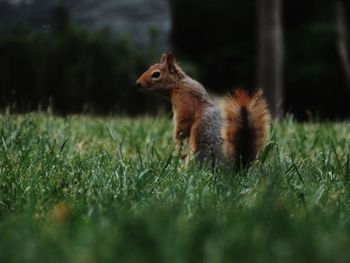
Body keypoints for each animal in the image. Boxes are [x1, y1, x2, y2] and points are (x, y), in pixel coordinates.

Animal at [135, 53, 270, 167]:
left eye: (156, 74)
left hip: (201, 151)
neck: (178, 84)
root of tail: (237, 167)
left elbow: (181, 127)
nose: (138, 84)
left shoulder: (185, 103)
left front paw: (177, 148)